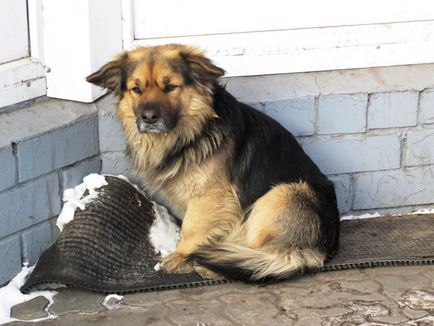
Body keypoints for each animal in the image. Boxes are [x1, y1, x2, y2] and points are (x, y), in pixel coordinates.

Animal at [87, 44, 340, 282]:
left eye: (170, 87)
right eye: (136, 90)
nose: (148, 117)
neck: (191, 134)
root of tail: (320, 247)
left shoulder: (211, 195)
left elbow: (192, 226)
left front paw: (181, 255)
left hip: (283, 193)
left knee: (263, 257)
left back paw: (213, 264)